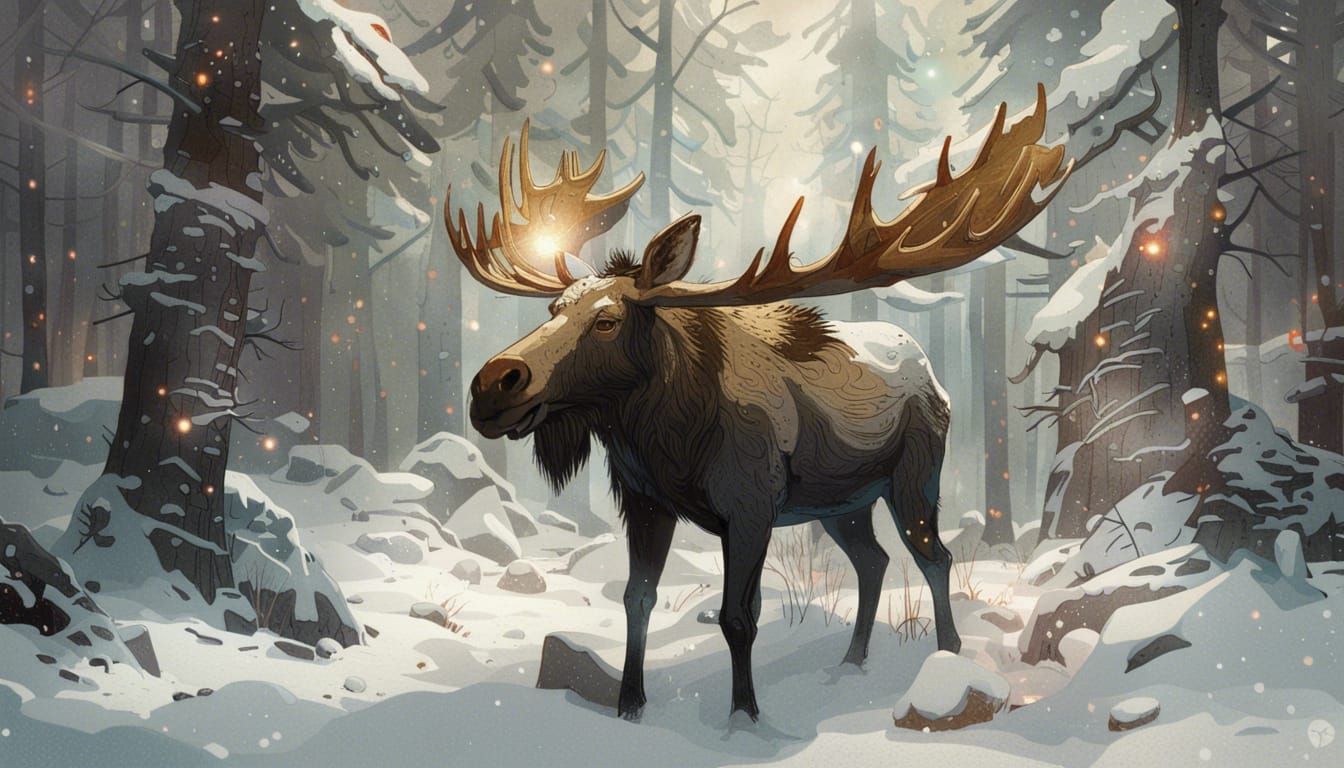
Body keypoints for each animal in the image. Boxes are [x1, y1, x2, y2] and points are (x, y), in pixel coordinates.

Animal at [445, 85, 1070, 722]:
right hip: (842, 501)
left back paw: (946, 655)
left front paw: (744, 715)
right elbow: (637, 598)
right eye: (553, 310)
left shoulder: (751, 505)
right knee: (873, 561)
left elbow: (738, 618)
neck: (669, 436)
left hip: (914, 478)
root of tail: (934, 378)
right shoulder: (644, 501)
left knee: (933, 557)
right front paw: (630, 704)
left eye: (607, 320)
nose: (492, 384)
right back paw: (851, 661)